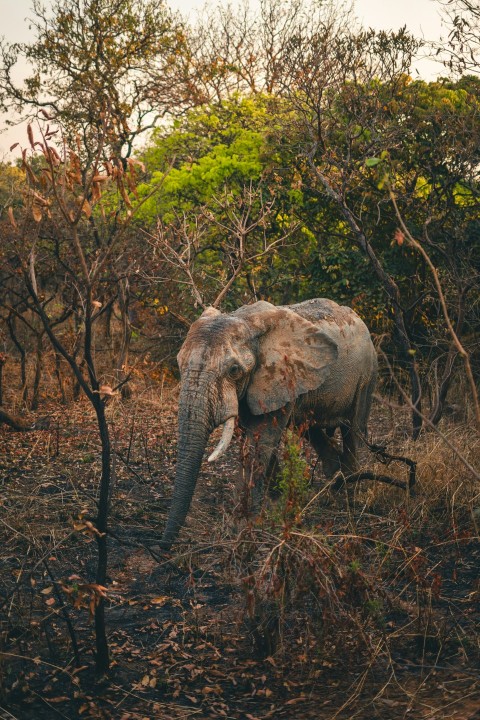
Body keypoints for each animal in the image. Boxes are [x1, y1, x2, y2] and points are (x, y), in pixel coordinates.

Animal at [160, 298, 377, 549]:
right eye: (179, 363)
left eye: (234, 370)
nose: (163, 547)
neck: (245, 321)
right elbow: (255, 438)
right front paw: (272, 506)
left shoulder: (280, 374)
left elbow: (259, 439)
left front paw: (242, 526)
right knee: (314, 430)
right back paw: (334, 485)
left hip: (367, 374)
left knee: (354, 429)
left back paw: (350, 492)